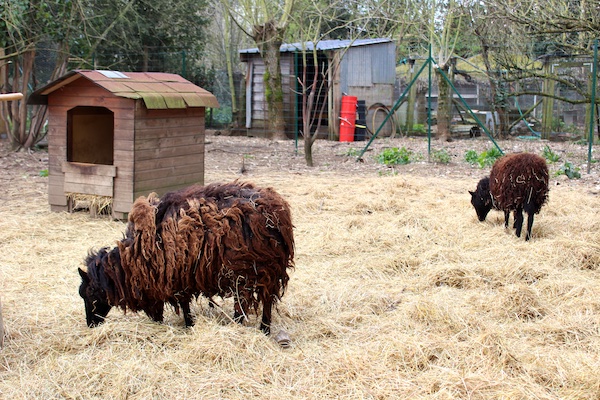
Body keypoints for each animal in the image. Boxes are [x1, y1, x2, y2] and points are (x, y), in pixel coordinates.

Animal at [79, 181, 296, 334]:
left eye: (90, 293)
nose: (90, 324)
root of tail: (279, 211)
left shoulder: (176, 275)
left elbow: (183, 305)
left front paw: (189, 324)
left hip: (250, 271)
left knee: (248, 303)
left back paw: (247, 327)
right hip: (265, 272)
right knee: (263, 301)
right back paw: (262, 329)